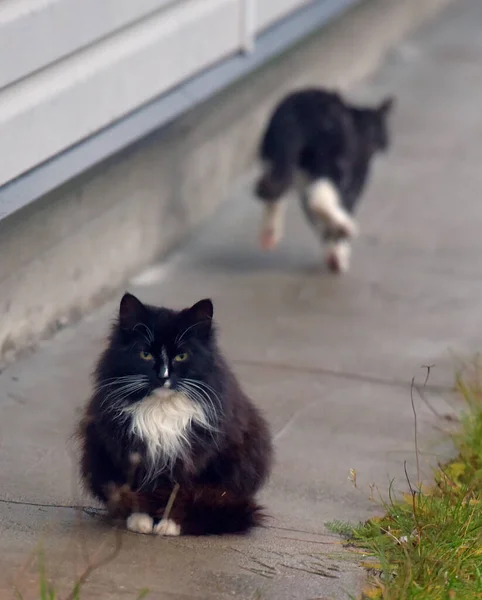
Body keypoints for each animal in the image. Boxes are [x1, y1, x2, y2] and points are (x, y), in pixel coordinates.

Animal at [254, 88, 394, 274]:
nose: (386, 143)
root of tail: (297, 109)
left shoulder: (304, 183)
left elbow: (317, 221)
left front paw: (333, 252)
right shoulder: (354, 182)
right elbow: (341, 210)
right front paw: (338, 252)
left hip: (276, 159)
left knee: (273, 191)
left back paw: (269, 234)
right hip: (332, 162)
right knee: (318, 199)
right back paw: (346, 227)